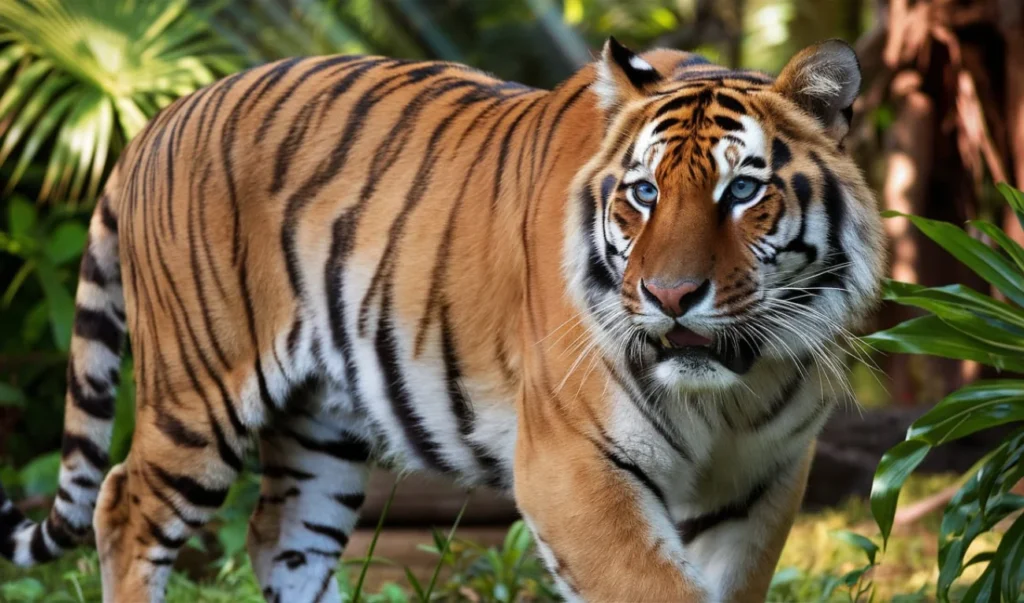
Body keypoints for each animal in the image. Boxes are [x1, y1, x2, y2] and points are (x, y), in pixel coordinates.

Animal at [0, 38, 880, 601]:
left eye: (742, 191)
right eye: (645, 192)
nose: (669, 296)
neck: (729, 392)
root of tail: (154, 122)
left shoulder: (762, 479)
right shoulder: (568, 462)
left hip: (321, 426)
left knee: (280, 536)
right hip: (199, 387)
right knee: (124, 506)